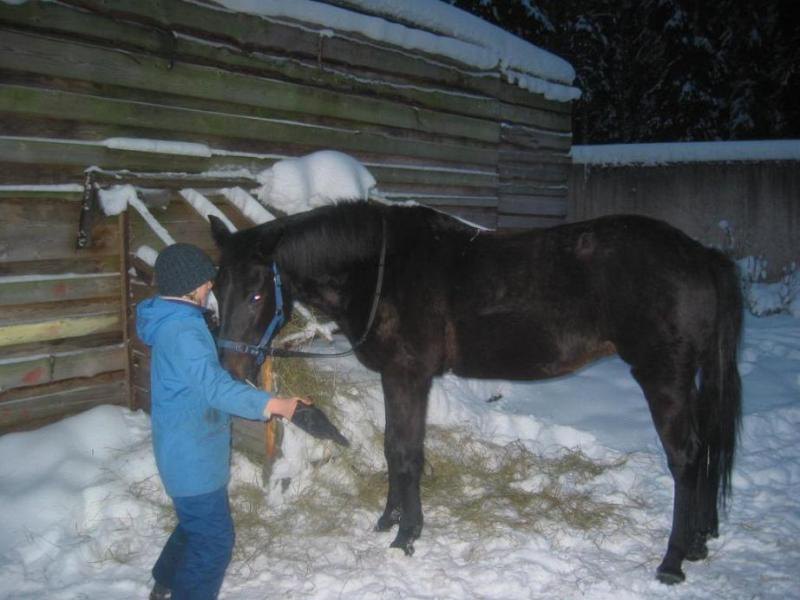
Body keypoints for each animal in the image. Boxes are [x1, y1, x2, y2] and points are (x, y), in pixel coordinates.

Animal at [211, 200, 744, 580]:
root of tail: (701, 255)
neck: (383, 269)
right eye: (217, 289)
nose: (229, 368)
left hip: (664, 377)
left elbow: (406, 453)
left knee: (685, 458)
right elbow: (392, 448)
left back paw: (671, 561)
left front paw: (406, 536)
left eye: (257, 293)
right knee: (703, 452)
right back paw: (698, 543)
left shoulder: (409, 375)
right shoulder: (395, 377)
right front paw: (389, 520)